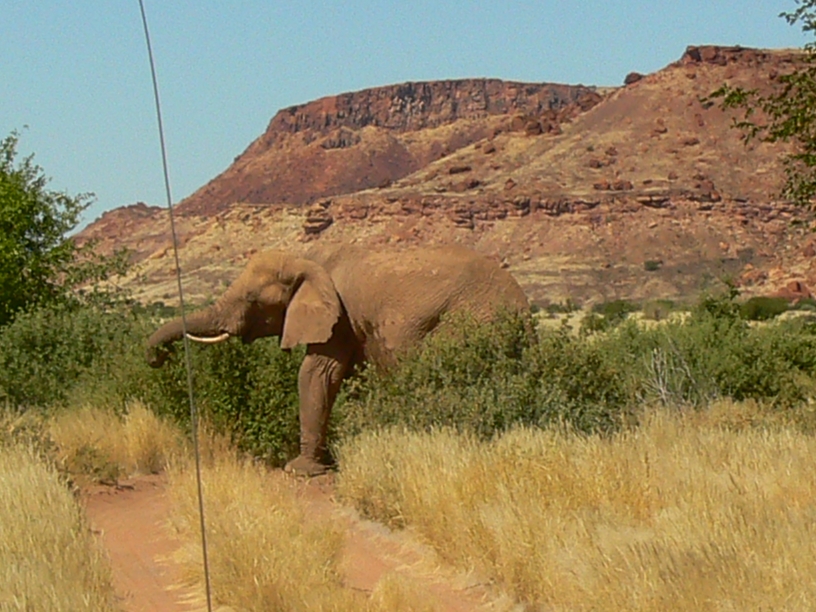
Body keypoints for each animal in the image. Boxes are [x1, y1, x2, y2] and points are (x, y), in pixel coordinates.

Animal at [146, 244, 530, 476]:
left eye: (253, 301)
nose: (156, 359)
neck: (306, 258)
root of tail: (523, 307)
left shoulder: (339, 316)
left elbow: (316, 373)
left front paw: (301, 470)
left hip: (471, 322)